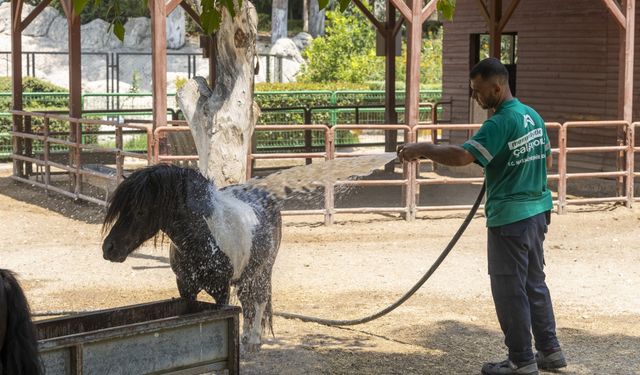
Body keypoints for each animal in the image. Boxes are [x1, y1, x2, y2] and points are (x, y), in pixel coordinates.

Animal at [104, 164, 282, 352]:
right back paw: (245, 338)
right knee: (246, 303)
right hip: (244, 277)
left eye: (140, 211)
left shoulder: (222, 292)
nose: (108, 248)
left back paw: (254, 340)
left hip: (262, 272)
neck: (202, 237)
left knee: (260, 300)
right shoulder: (186, 288)